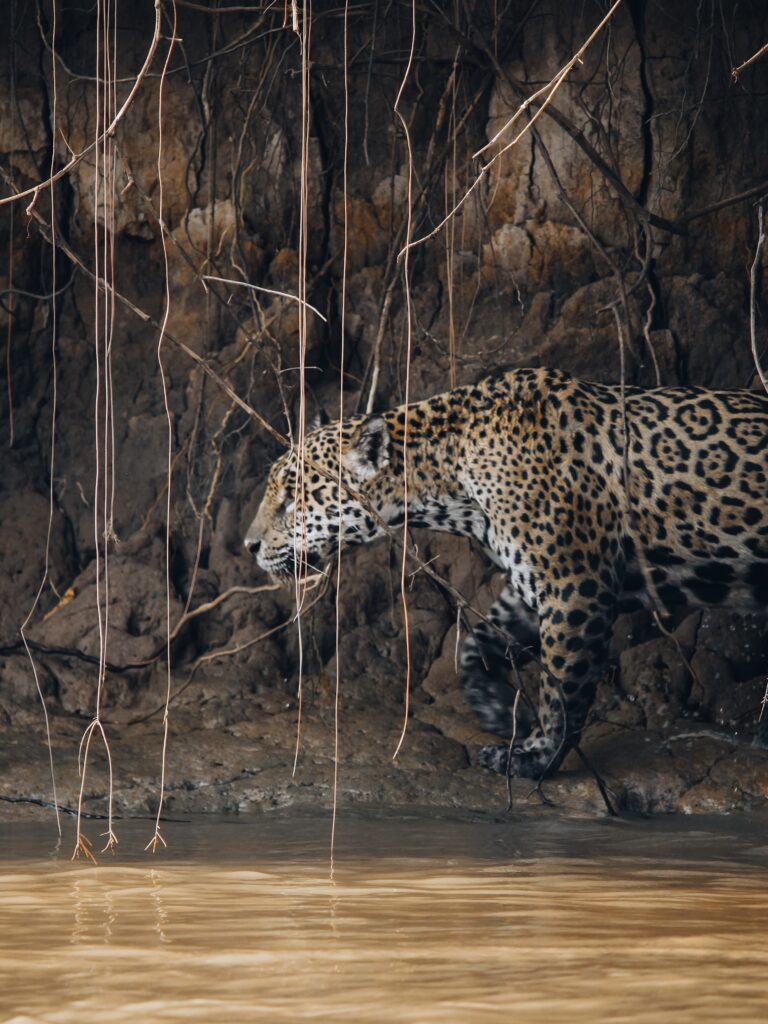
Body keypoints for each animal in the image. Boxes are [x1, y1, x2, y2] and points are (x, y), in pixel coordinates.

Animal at [244, 367, 768, 780]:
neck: (450, 483)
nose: (249, 546)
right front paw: (496, 710)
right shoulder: (534, 584)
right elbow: (474, 644)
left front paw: (535, 758)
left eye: (292, 498)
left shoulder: (574, 587)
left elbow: (562, 688)